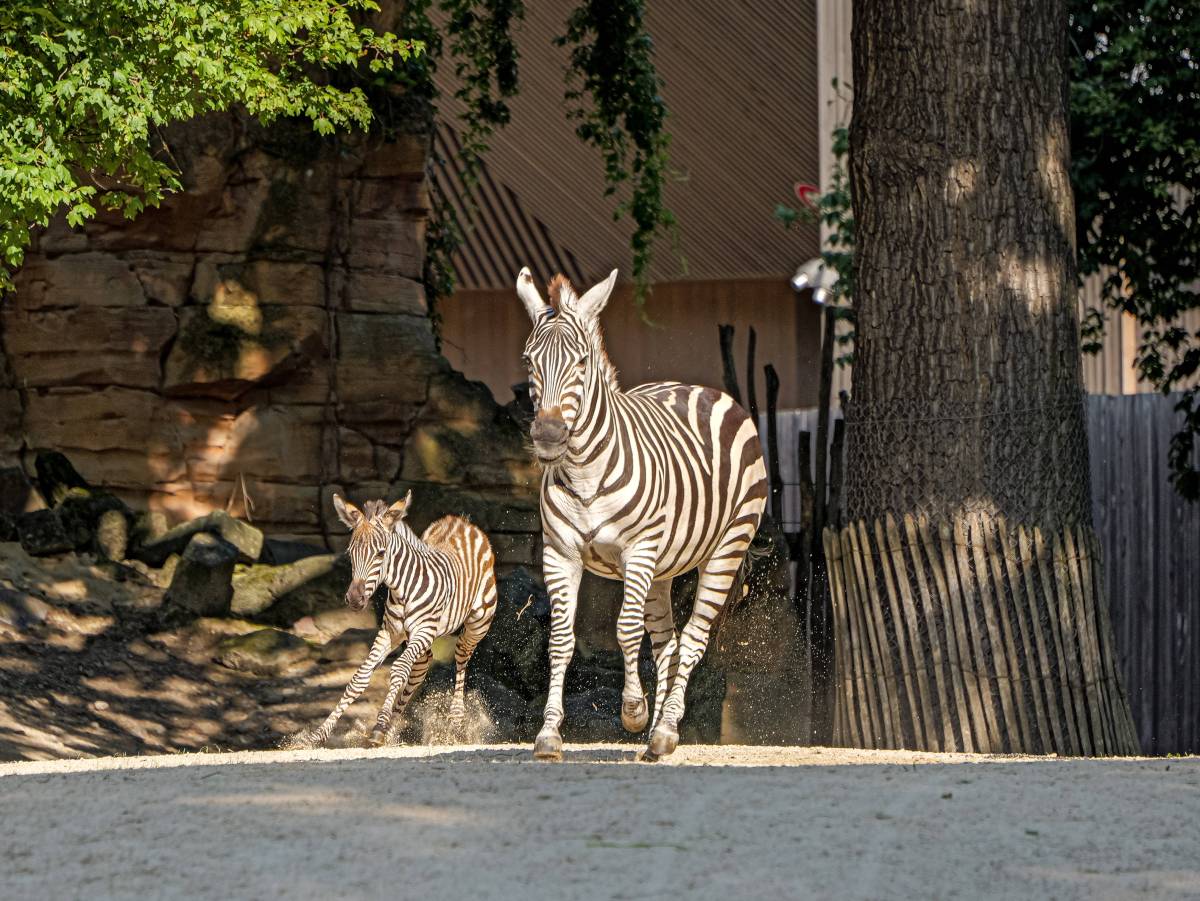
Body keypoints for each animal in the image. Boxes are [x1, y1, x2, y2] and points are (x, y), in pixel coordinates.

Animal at [292, 494, 499, 748]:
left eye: (381, 554)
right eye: (351, 554)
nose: (354, 599)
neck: (403, 591)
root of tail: (461, 521)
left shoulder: (423, 630)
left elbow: (398, 670)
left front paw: (379, 725)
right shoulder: (390, 632)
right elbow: (359, 678)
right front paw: (317, 735)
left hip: (477, 623)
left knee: (461, 655)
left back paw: (455, 722)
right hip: (420, 639)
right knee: (421, 668)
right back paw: (392, 731)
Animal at [516, 267, 768, 763]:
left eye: (581, 363)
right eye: (529, 361)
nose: (550, 435)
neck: (585, 472)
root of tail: (701, 388)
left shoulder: (638, 550)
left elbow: (626, 631)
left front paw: (632, 711)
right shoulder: (560, 554)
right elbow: (561, 639)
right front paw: (549, 734)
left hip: (725, 548)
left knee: (691, 640)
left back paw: (664, 730)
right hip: (663, 569)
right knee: (667, 644)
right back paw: (655, 735)